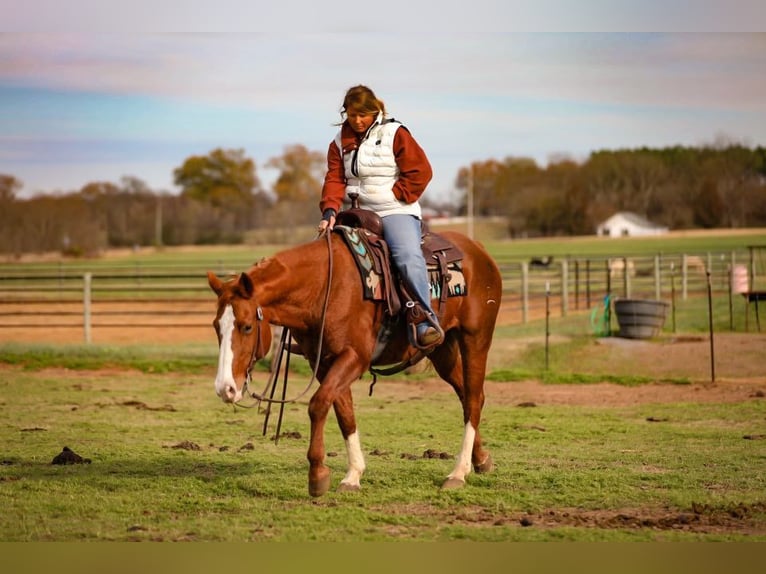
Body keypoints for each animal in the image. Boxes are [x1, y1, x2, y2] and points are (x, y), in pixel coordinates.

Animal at [207, 229, 503, 497]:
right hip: (442, 351)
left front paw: (317, 474)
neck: (323, 288)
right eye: (216, 326)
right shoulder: (325, 362)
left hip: (475, 339)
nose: (225, 389)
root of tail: (477, 249)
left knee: (473, 398)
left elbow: (318, 404)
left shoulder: (354, 357)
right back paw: (480, 460)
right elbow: (344, 414)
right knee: (469, 396)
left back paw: (458, 473)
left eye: (246, 327)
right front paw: (353, 476)